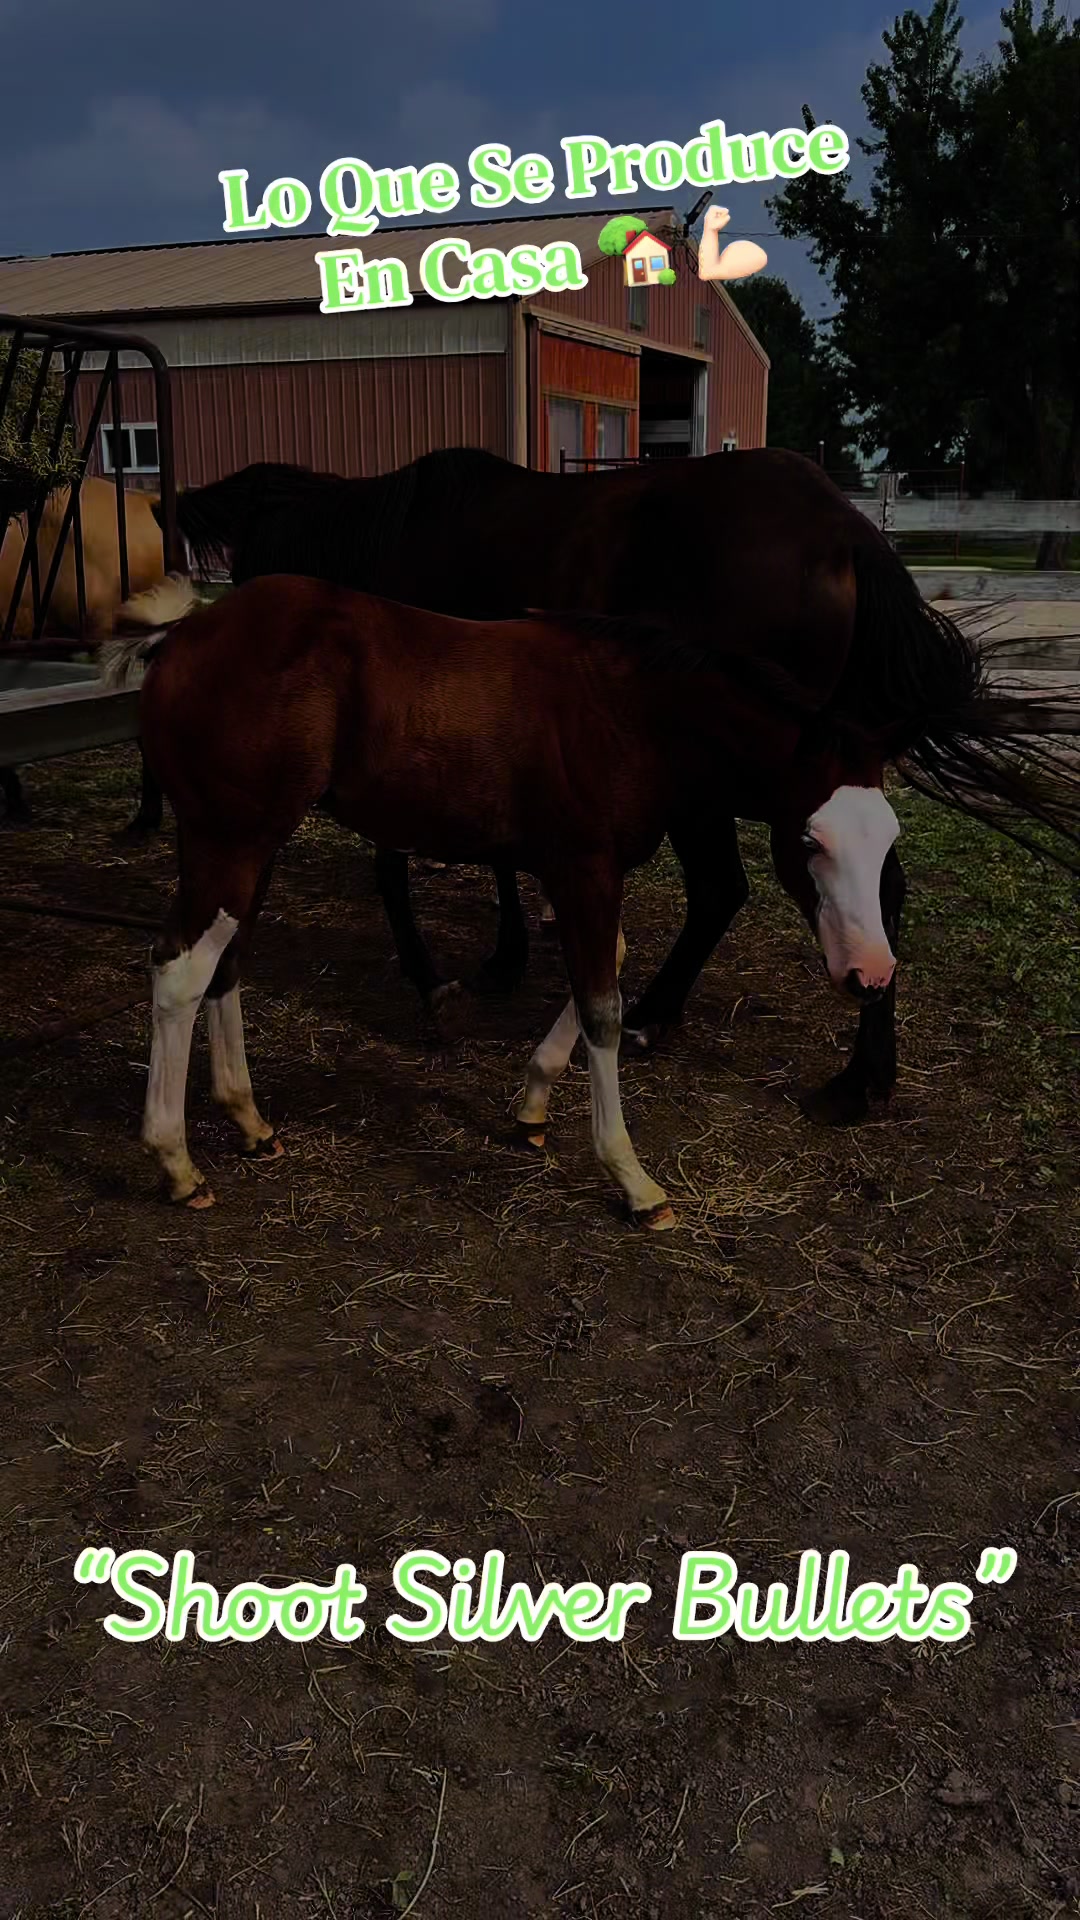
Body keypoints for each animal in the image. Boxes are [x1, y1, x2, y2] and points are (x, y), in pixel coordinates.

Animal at [104, 551, 1079, 1222]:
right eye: (808, 841)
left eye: (887, 842)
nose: (870, 974)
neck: (629, 711)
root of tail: (184, 631)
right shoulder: (581, 865)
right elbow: (606, 1004)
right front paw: (634, 1179)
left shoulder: (586, 871)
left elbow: (602, 962)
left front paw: (532, 1104)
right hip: (232, 838)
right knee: (179, 971)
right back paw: (176, 1163)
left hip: (246, 842)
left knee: (224, 963)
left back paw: (249, 1123)